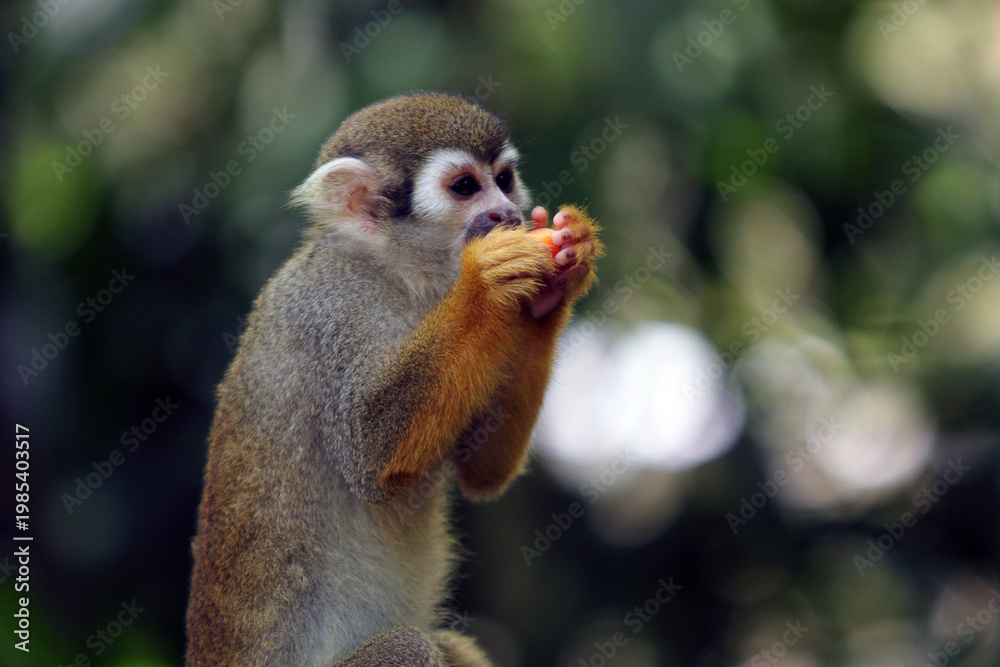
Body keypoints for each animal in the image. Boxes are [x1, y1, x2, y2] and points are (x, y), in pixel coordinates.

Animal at [185, 92, 603, 666]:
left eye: (504, 177)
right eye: (466, 187)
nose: (508, 212)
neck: (397, 273)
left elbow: (482, 470)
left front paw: (553, 287)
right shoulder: (335, 307)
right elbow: (371, 454)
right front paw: (486, 281)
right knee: (408, 644)